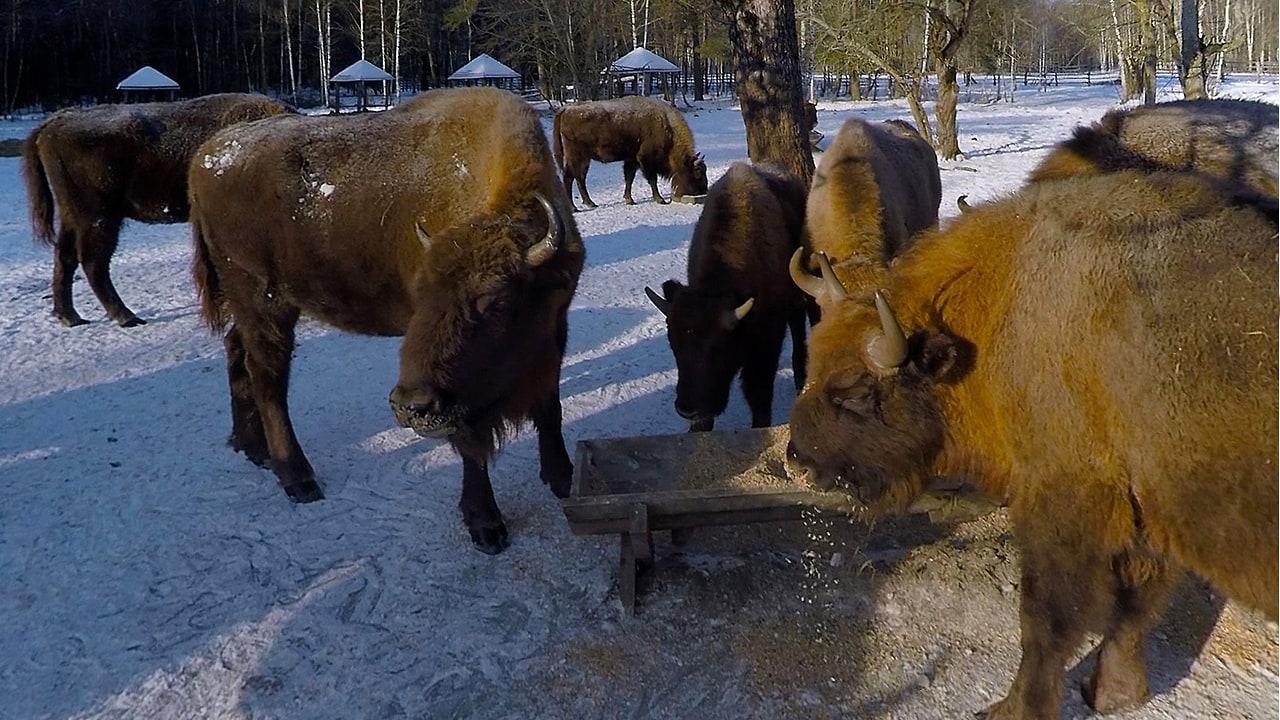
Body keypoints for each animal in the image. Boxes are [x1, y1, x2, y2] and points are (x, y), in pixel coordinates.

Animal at [186, 85, 586, 556]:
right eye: (420, 295)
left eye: (497, 302)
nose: (409, 405)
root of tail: (205, 157)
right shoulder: (464, 400)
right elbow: (471, 445)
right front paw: (486, 525)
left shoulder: (554, 332)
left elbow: (550, 406)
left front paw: (563, 478)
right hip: (265, 303)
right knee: (269, 382)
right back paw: (299, 480)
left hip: (251, 306)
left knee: (237, 354)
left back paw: (252, 449)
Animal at [550, 94, 711, 208]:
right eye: (697, 172)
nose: (704, 189)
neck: (665, 125)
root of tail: (565, 109)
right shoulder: (645, 159)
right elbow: (652, 179)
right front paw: (660, 199)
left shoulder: (632, 160)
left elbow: (629, 178)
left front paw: (629, 200)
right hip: (576, 156)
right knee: (570, 177)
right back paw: (574, 207)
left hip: (584, 158)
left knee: (580, 178)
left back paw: (590, 203)